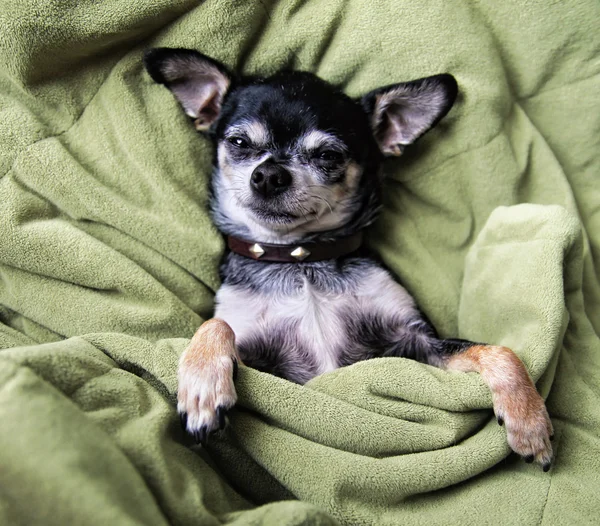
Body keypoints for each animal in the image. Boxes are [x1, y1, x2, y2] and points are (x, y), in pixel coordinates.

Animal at [142, 48, 552, 470]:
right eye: (239, 142)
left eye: (327, 155)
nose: (269, 174)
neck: (301, 260)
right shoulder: (263, 361)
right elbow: (216, 325)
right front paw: (203, 387)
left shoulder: (413, 345)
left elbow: (499, 350)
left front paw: (529, 419)